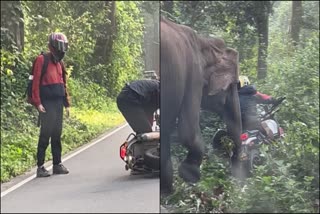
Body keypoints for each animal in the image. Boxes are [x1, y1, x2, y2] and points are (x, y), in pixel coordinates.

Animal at [161, 16, 241, 194]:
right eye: (231, 86)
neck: (204, 43)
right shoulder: (193, 76)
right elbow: (188, 131)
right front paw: (190, 174)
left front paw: (166, 190)